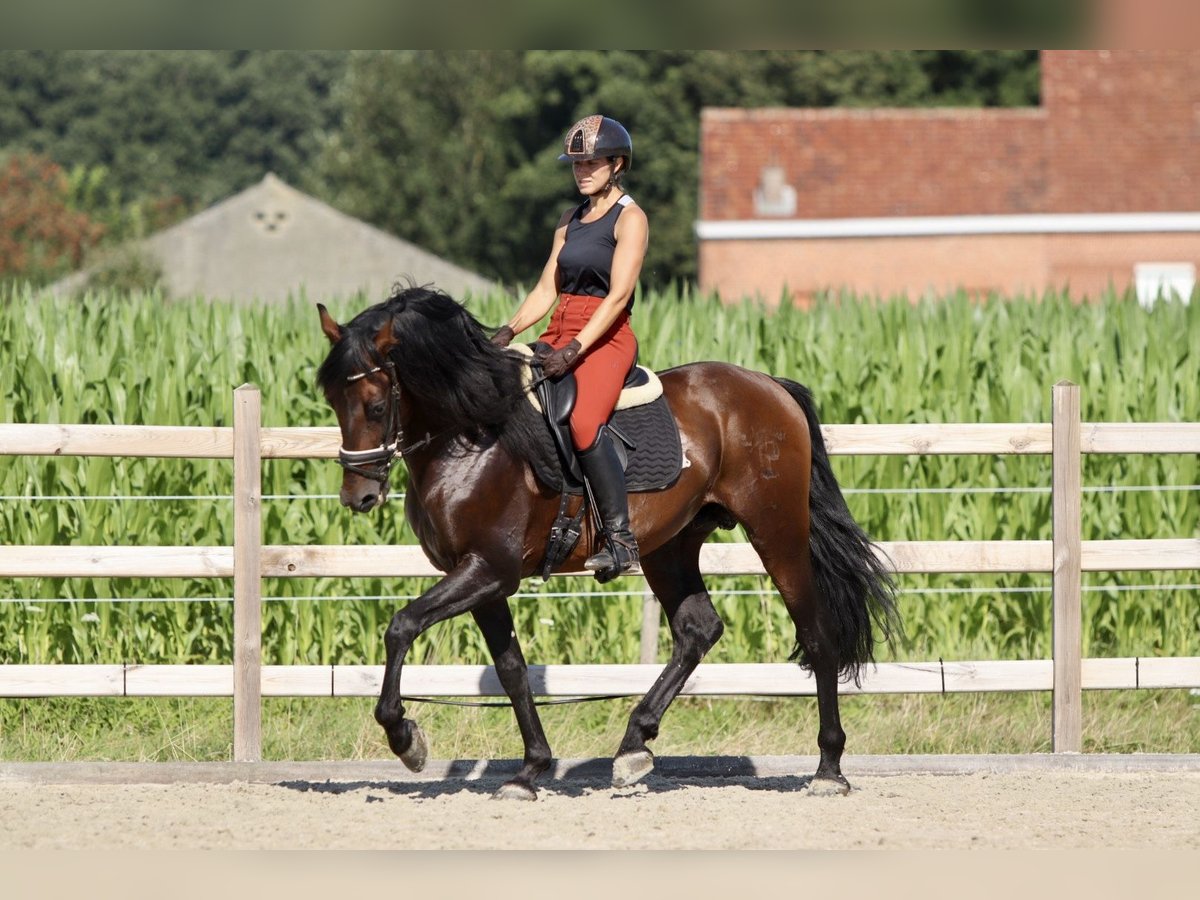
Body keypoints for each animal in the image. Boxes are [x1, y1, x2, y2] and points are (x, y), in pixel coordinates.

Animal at [314, 285, 897, 801]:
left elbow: (401, 625)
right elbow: (511, 670)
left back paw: (828, 768)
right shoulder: (480, 577)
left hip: (776, 533)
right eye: (332, 400)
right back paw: (634, 745)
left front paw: (405, 738)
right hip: (670, 547)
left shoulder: (488, 569)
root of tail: (767, 386)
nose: (359, 496)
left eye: (374, 404)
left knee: (817, 634)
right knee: (698, 630)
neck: (472, 437)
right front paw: (529, 771)